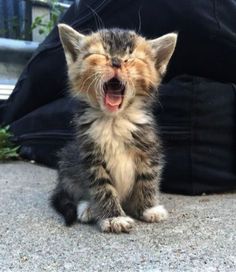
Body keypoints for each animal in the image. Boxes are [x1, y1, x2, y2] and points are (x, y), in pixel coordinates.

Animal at [51, 23, 177, 233]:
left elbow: (147, 179)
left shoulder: (149, 148)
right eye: (101, 54)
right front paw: (113, 217)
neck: (114, 121)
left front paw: (148, 208)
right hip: (68, 162)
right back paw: (87, 207)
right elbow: (102, 187)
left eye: (131, 58)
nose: (117, 62)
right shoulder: (89, 156)